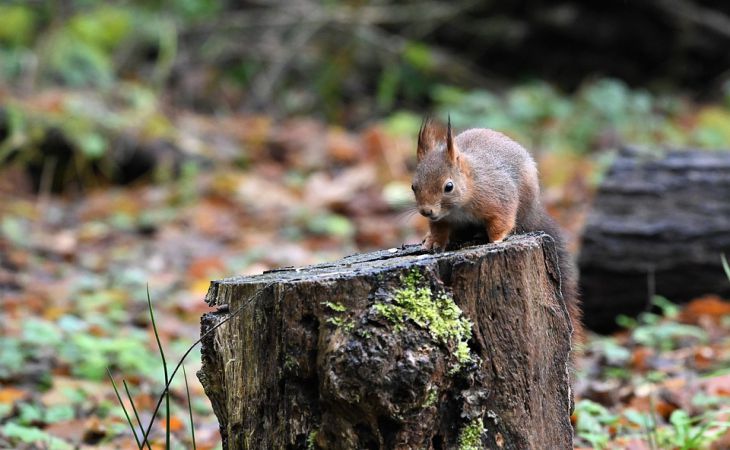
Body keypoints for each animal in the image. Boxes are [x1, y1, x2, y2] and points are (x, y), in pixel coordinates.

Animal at [410, 118, 580, 342]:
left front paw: (496, 239)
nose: (426, 211)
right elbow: (439, 231)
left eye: (449, 186)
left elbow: (502, 219)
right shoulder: (441, 221)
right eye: (413, 186)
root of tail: (534, 211)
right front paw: (434, 242)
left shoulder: (499, 197)